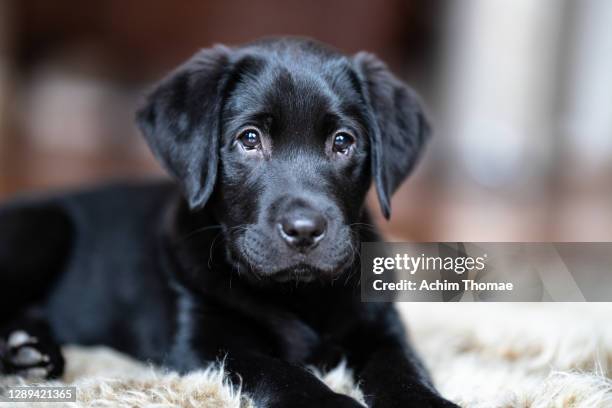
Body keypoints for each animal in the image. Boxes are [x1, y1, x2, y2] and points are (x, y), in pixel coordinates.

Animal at [1, 36, 460, 406]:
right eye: (249, 139)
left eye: (343, 141)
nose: (304, 231)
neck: (296, 294)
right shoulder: (204, 343)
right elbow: (281, 371)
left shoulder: (383, 328)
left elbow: (401, 367)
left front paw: (428, 404)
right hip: (45, 226)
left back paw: (30, 351)